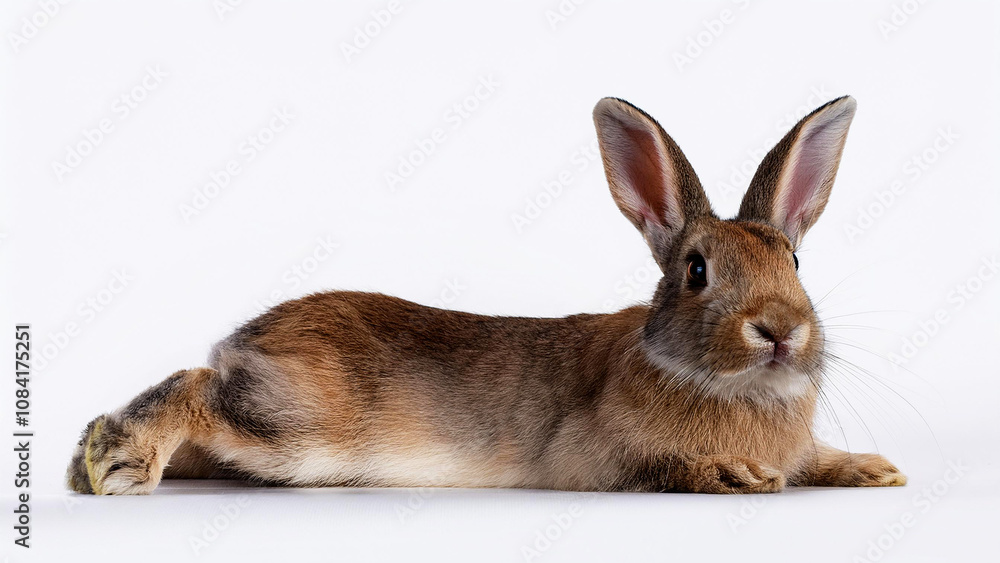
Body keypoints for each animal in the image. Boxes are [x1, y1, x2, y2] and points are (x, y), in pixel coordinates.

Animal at [67, 95, 906, 495]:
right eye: (697, 269)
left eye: (794, 261)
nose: (780, 330)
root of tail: (245, 339)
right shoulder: (602, 458)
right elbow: (666, 465)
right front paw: (737, 475)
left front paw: (874, 468)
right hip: (297, 429)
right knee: (195, 385)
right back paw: (115, 464)